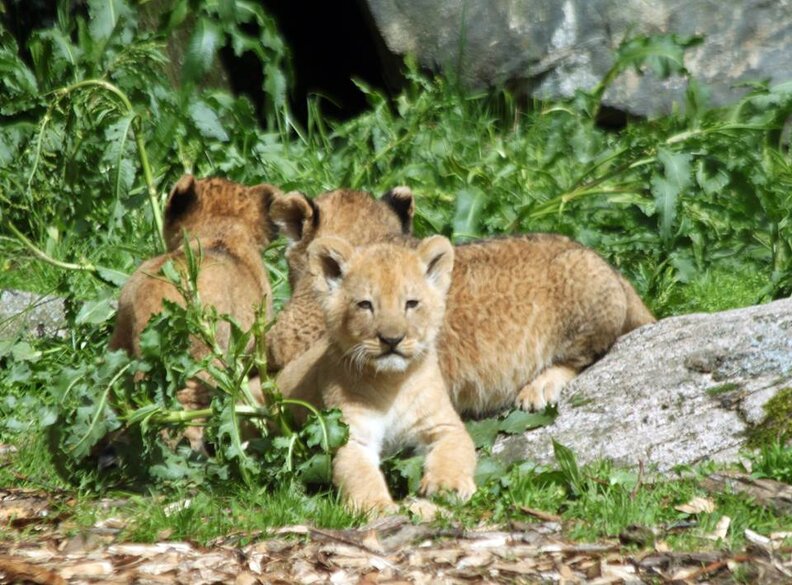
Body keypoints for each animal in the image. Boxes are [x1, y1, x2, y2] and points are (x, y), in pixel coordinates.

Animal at [276, 235, 476, 513]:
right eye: (365, 304)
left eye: (411, 303)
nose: (392, 340)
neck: (391, 383)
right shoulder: (351, 435)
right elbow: (360, 473)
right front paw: (376, 506)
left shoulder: (443, 424)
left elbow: (455, 452)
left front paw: (448, 486)